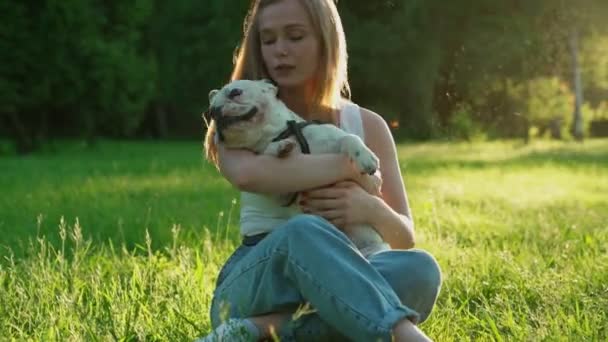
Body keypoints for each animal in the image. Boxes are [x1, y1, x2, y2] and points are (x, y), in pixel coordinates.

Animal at [208, 79, 390, 256]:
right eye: (209, 113)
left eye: (235, 92)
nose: (215, 111)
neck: (282, 133)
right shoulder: (282, 193)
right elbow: (269, 152)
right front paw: (280, 147)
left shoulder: (333, 137)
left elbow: (350, 138)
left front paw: (365, 157)